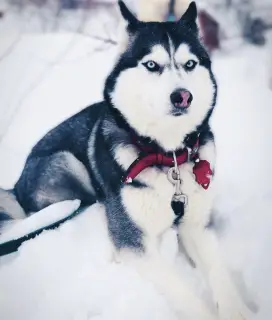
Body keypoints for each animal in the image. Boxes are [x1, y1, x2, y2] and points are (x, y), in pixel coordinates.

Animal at [1, 2, 253, 320]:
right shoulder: (134, 243)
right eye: (151, 65)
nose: (183, 96)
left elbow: (219, 273)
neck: (168, 155)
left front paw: (239, 310)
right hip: (67, 163)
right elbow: (182, 291)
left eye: (190, 64)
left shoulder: (196, 224)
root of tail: (17, 184)